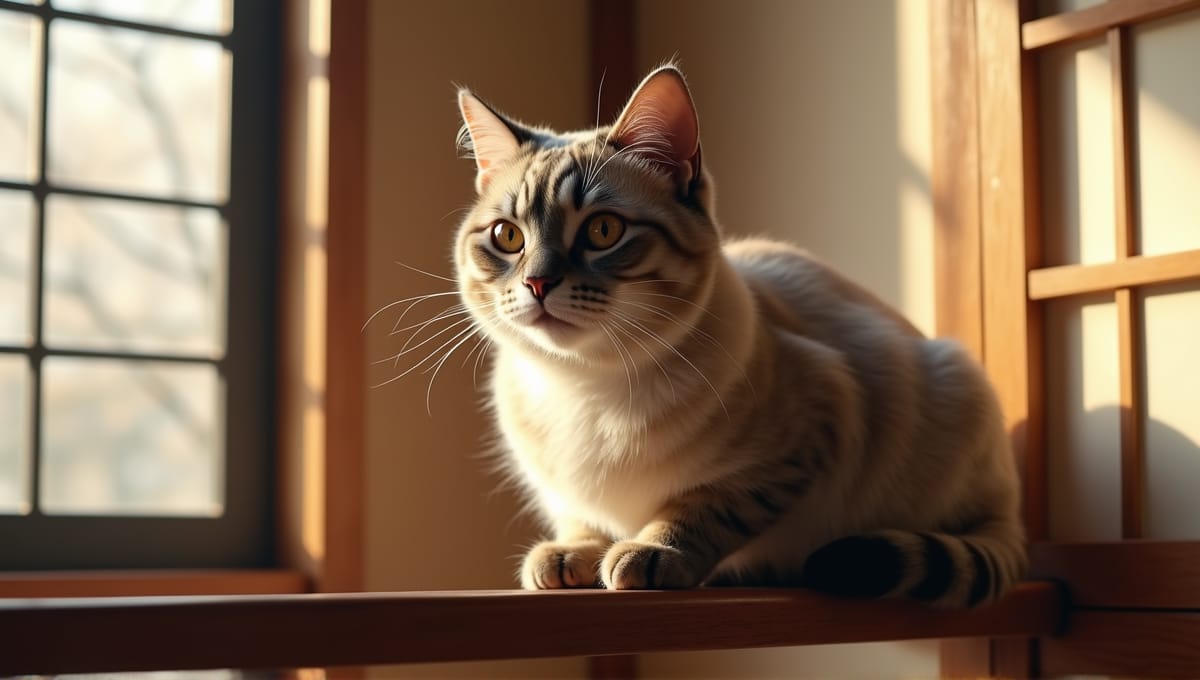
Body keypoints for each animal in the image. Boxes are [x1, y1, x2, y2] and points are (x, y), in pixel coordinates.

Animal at [446, 62, 1027, 606]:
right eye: (507, 237)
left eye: (603, 231)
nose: (538, 283)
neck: (583, 384)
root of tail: (1010, 509)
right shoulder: (564, 491)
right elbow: (582, 519)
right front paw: (572, 555)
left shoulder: (798, 443)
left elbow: (702, 509)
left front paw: (650, 552)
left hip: (955, 386)